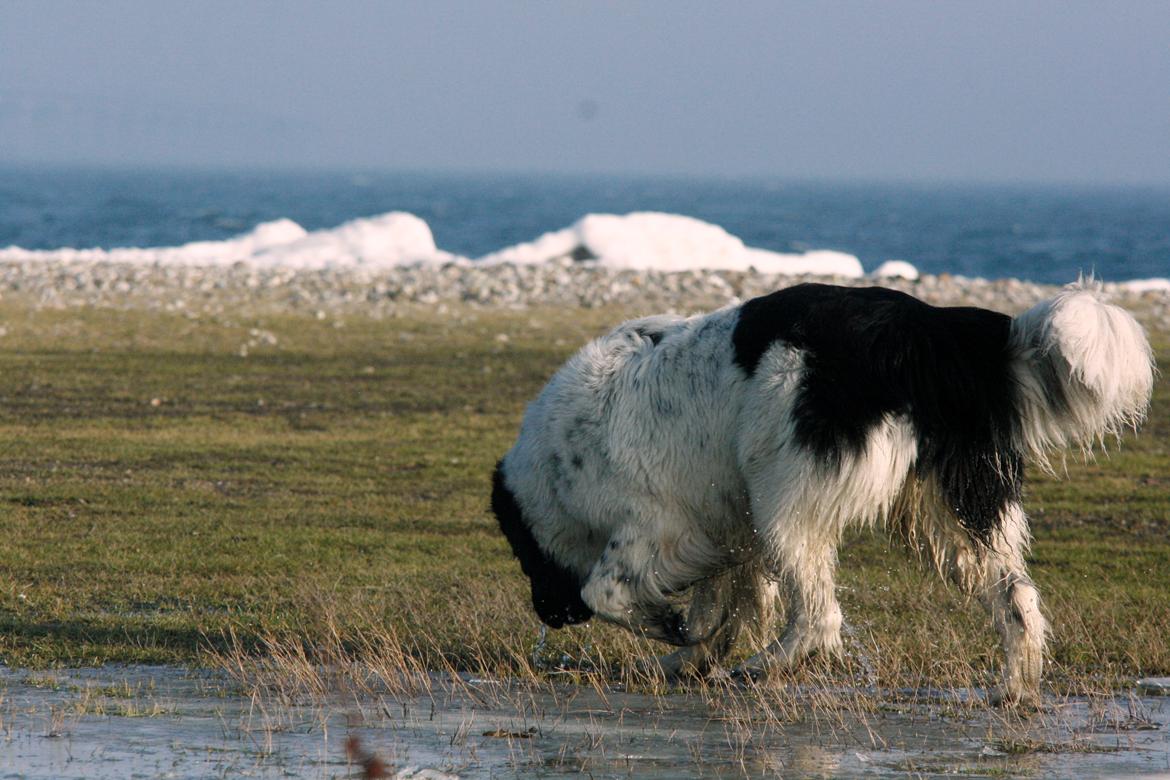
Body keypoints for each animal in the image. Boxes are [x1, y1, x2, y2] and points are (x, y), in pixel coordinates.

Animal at [491, 277, 1151, 706]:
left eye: (522, 554)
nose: (545, 613)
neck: (557, 461)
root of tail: (927, 329)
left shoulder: (657, 524)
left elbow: (609, 591)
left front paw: (674, 634)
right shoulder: (723, 529)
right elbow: (723, 602)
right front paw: (691, 653)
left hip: (783, 501)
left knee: (819, 618)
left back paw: (759, 672)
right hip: (948, 517)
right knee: (1017, 597)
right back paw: (1013, 691)